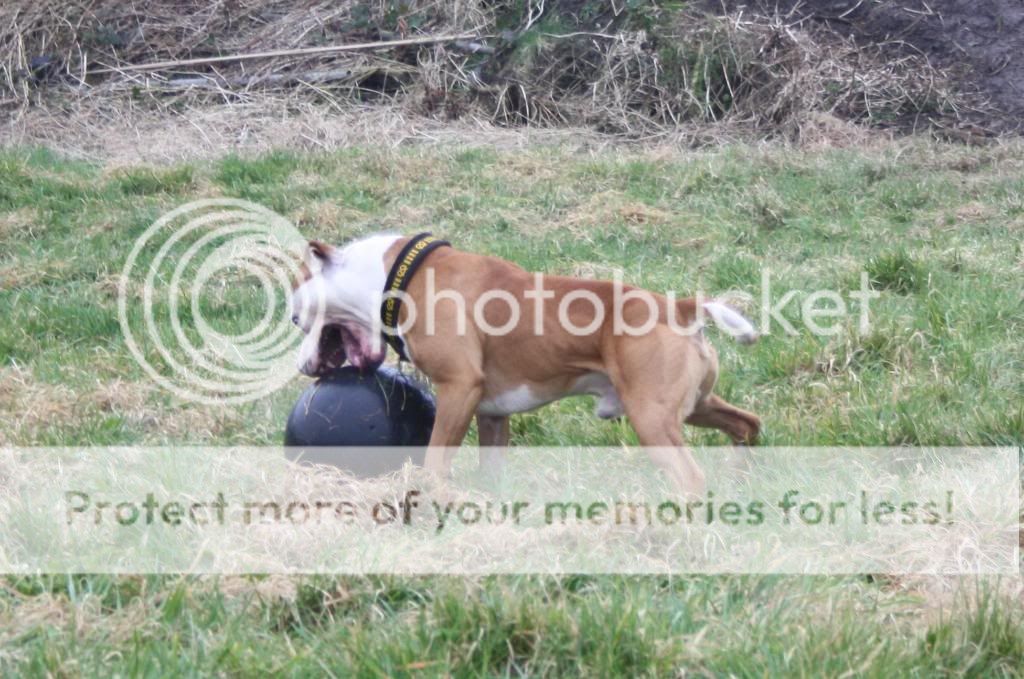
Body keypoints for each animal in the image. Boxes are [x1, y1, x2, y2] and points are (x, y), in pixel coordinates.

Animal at [290, 233, 761, 493]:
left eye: (298, 319)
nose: (301, 367)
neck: (399, 277)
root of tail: (678, 309)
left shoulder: (458, 388)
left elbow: (435, 461)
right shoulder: (491, 413)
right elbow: (490, 468)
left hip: (652, 419)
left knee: (691, 477)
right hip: (695, 408)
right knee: (747, 425)